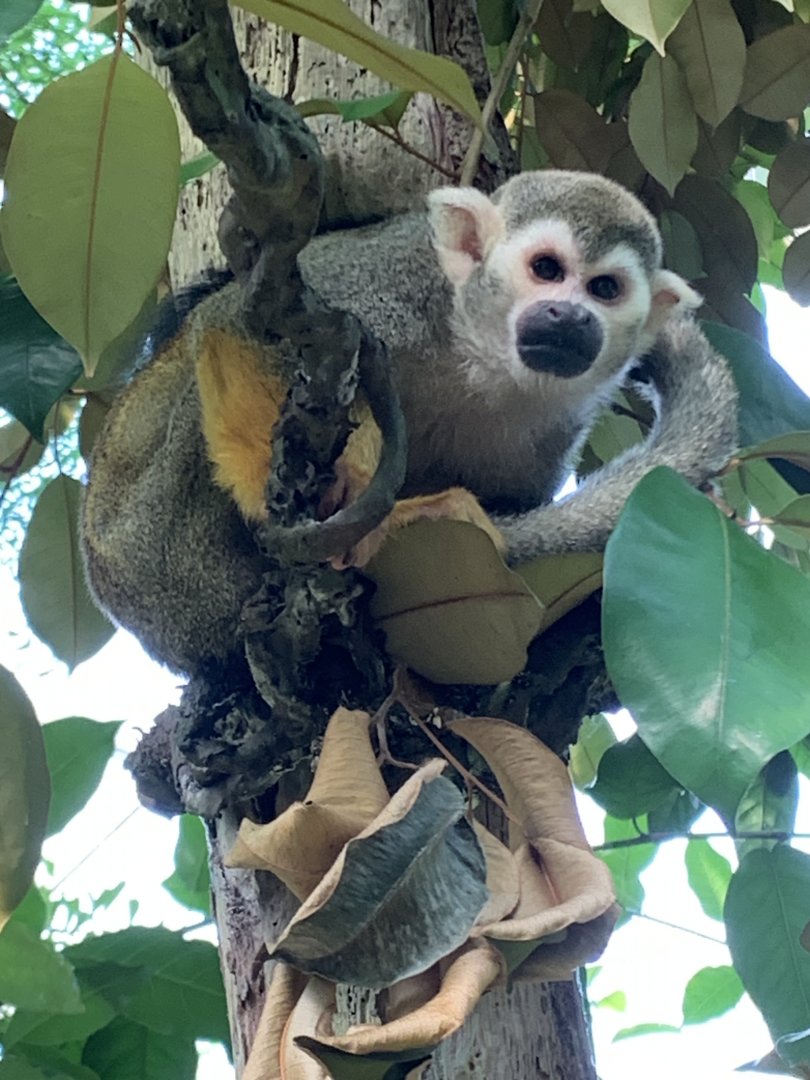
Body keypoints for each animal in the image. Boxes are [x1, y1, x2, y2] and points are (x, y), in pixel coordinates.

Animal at [81, 170, 738, 676]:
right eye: (548, 269)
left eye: (605, 288)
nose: (571, 316)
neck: (479, 353)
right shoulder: (389, 276)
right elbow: (236, 321)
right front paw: (312, 500)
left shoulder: (554, 426)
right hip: (163, 544)